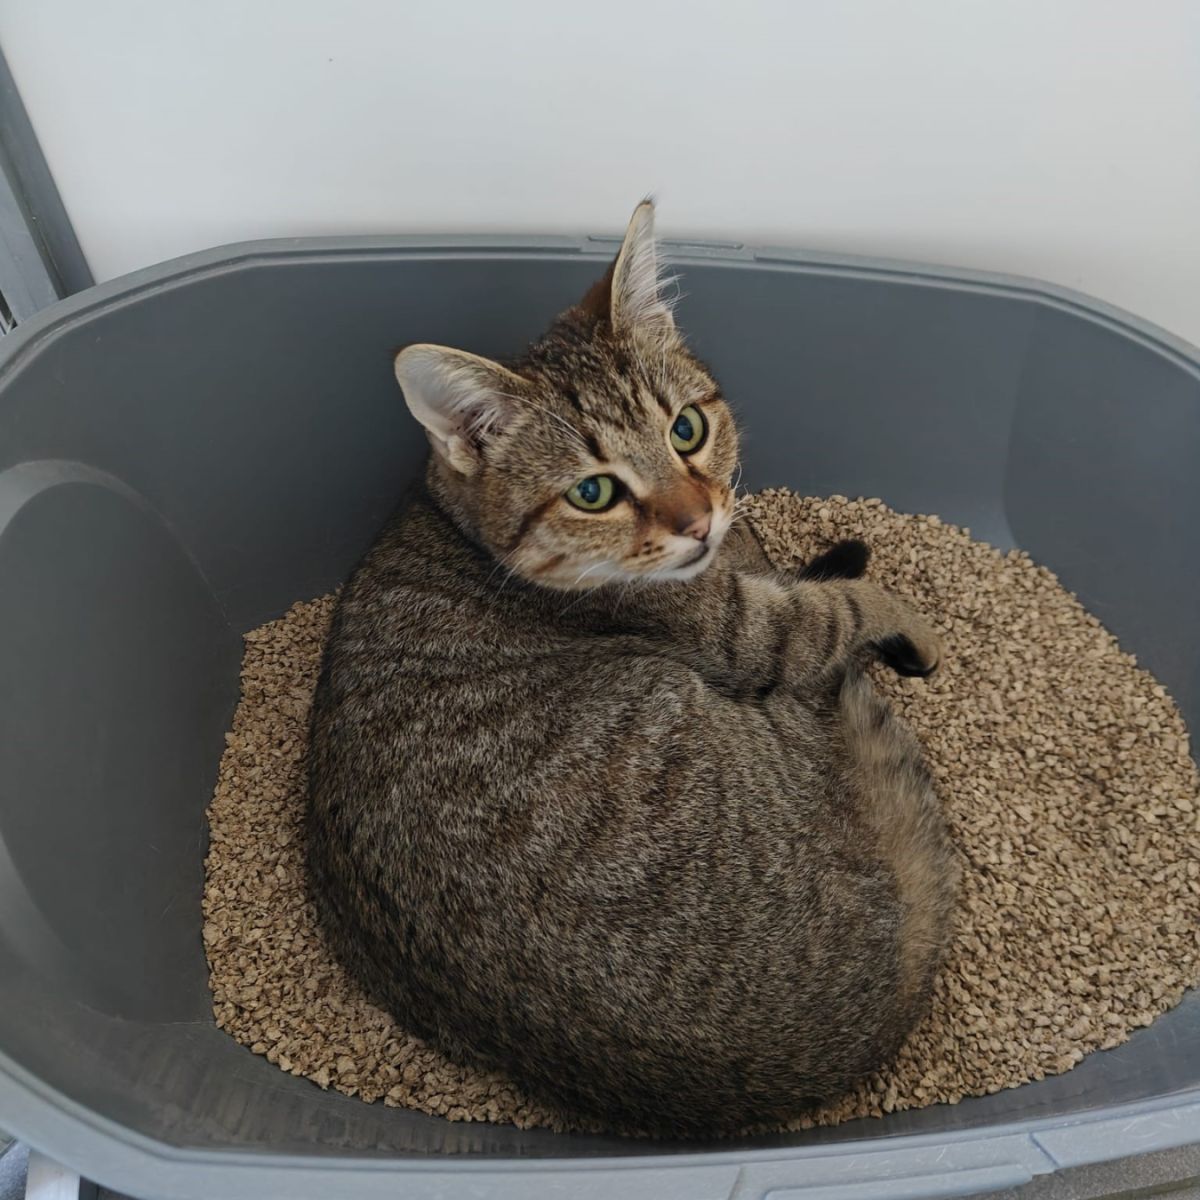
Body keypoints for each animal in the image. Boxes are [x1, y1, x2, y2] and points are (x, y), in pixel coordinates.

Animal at [307, 201, 959, 1137]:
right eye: (593, 492)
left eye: (686, 428)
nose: (698, 521)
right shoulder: (749, 634)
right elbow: (837, 610)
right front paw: (900, 616)